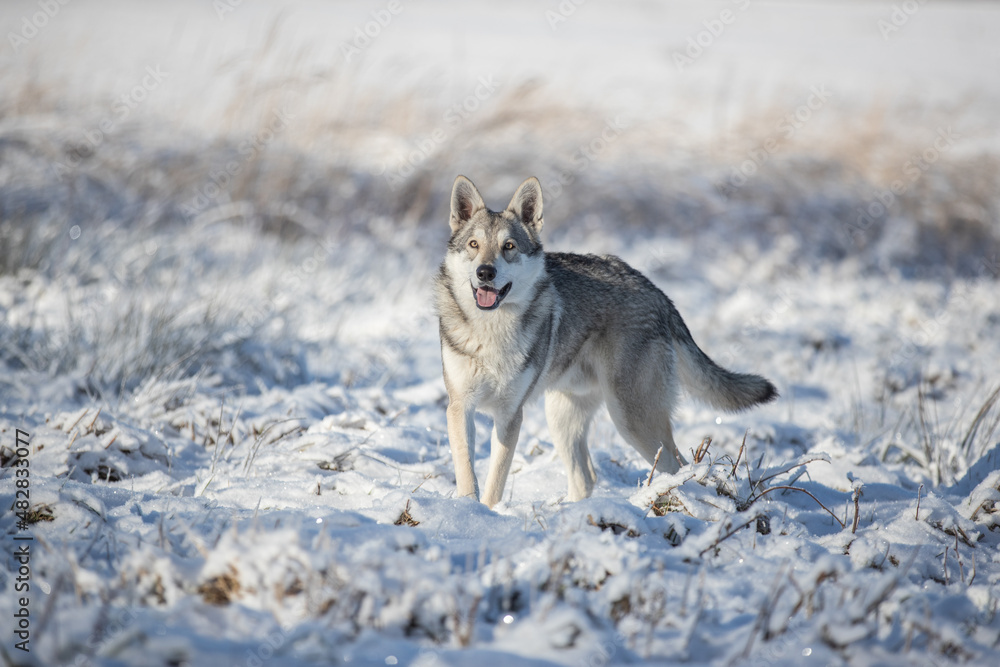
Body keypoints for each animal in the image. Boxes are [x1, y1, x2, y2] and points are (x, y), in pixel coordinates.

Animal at [434, 175, 777, 508]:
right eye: (474, 244)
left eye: (509, 246)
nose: (485, 272)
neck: (490, 331)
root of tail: (657, 293)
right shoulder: (460, 407)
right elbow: (467, 472)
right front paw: (468, 509)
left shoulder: (509, 415)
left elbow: (495, 483)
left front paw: (485, 513)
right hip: (563, 417)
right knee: (586, 478)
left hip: (631, 420)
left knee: (680, 467)